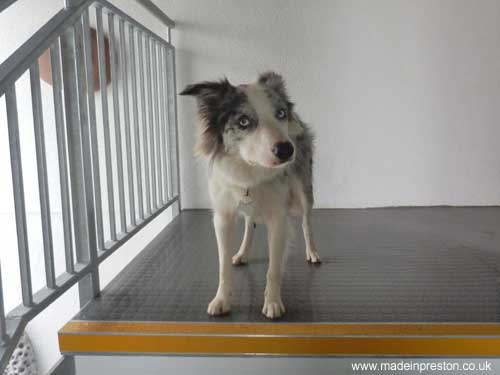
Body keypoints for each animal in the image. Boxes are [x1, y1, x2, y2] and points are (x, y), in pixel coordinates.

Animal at [180, 72, 320, 318]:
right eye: (243, 121)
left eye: (280, 114)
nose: (286, 150)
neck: (250, 173)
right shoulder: (222, 217)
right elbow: (223, 267)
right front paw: (222, 300)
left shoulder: (278, 219)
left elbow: (274, 269)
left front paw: (273, 303)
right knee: (249, 224)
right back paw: (243, 253)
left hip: (304, 190)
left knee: (306, 221)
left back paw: (311, 251)